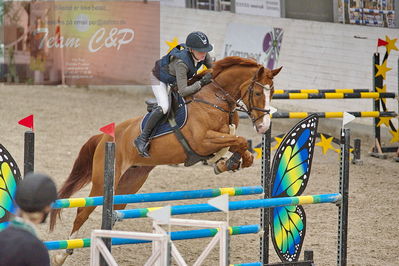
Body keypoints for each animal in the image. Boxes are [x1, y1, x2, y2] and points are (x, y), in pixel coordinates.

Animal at [50, 56, 282, 241]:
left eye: (272, 93)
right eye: (258, 93)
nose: (264, 126)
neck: (215, 99)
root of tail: (105, 137)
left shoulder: (221, 137)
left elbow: (238, 143)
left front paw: (230, 162)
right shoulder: (202, 141)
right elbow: (239, 140)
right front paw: (227, 162)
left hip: (132, 181)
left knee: (115, 210)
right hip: (103, 181)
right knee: (83, 210)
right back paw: (64, 252)